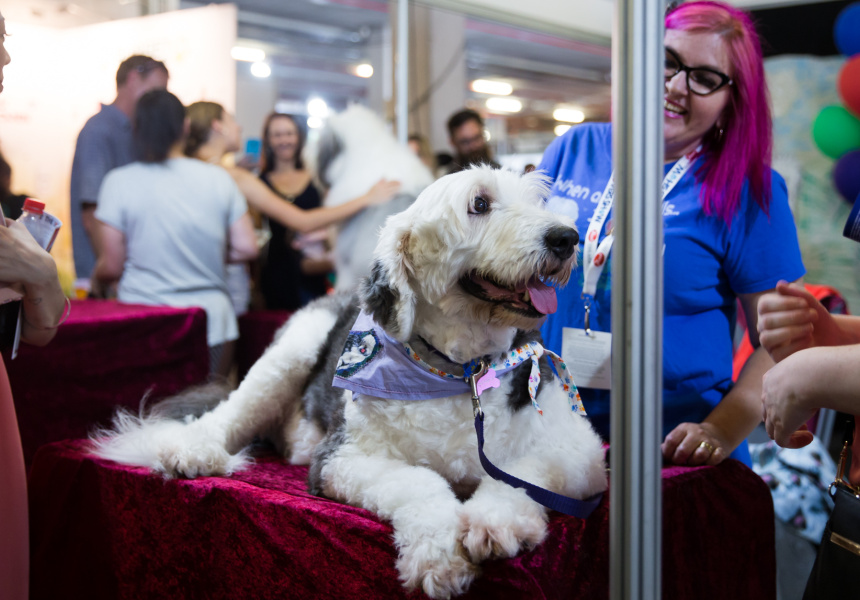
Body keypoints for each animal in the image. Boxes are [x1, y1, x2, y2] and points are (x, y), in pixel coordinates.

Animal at [91, 166, 608, 599]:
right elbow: (418, 481)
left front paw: (493, 522)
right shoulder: (343, 457)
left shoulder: (582, 453)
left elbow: (525, 472)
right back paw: (192, 451)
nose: (565, 237)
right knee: (230, 412)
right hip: (292, 349)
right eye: (479, 204)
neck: (461, 372)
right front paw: (438, 556)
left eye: (537, 199)